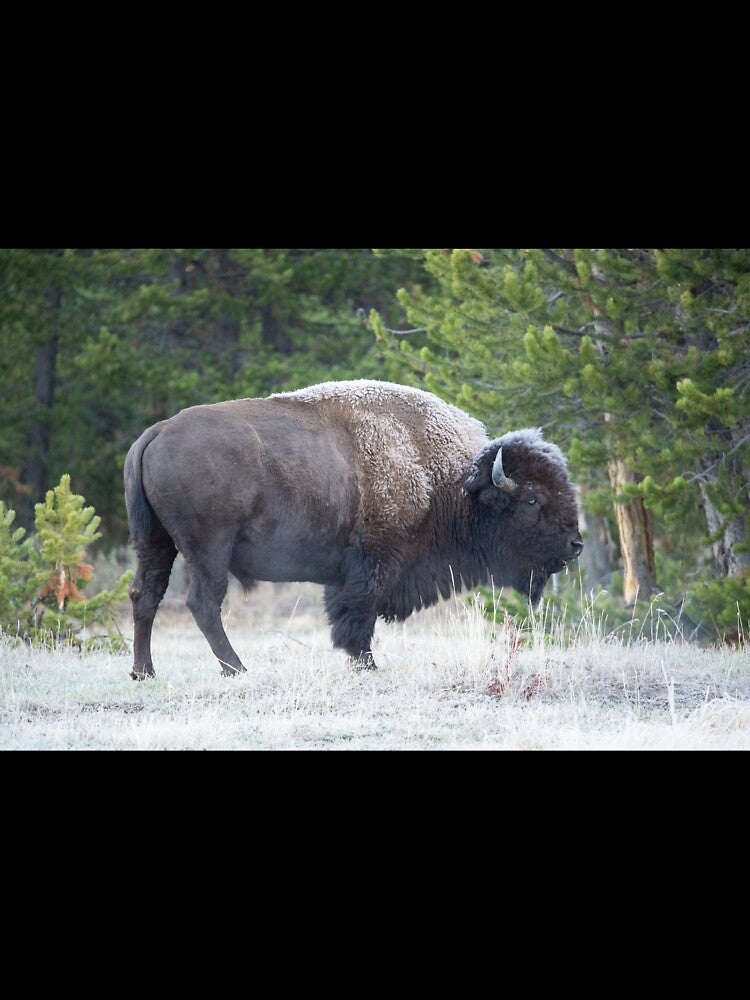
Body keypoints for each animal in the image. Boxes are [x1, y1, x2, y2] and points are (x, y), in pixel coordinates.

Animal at [124, 380, 582, 679]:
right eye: (532, 500)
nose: (575, 544)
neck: (448, 480)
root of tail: (158, 430)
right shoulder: (376, 560)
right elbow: (359, 612)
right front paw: (366, 664)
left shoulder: (346, 572)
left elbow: (344, 611)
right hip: (209, 549)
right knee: (203, 603)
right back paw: (236, 669)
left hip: (155, 542)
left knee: (145, 594)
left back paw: (144, 672)